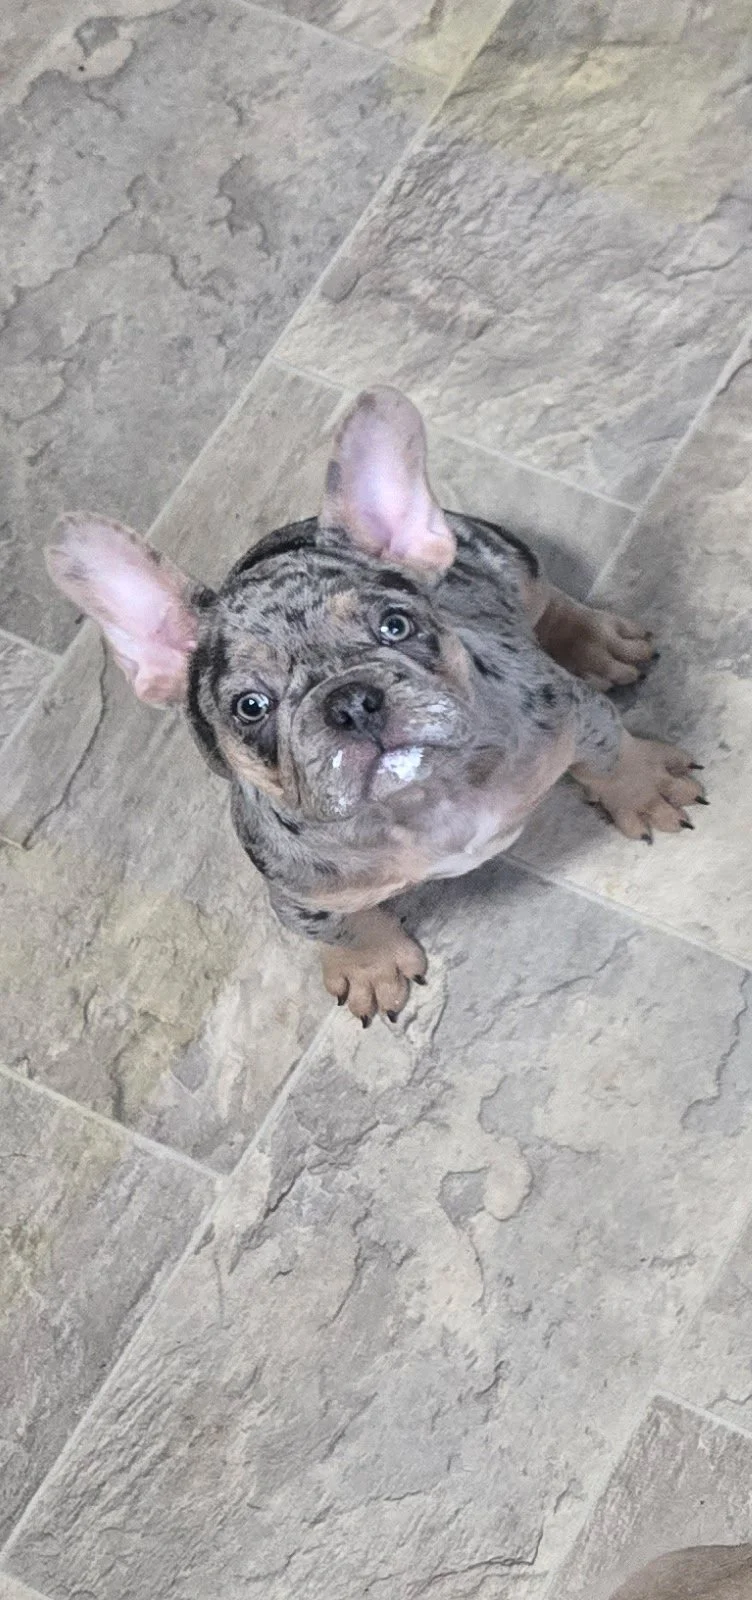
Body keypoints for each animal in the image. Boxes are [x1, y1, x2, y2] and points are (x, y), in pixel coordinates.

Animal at [46, 386, 705, 1024]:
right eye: (250, 706)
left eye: (394, 625)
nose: (351, 701)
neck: (421, 800)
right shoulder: (296, 892)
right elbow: (335, 925)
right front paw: (367, 963)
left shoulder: (572, 713)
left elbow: (612, 752)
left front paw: (644, 788)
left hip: (505, 558)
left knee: (548, 600)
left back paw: (597, 642)